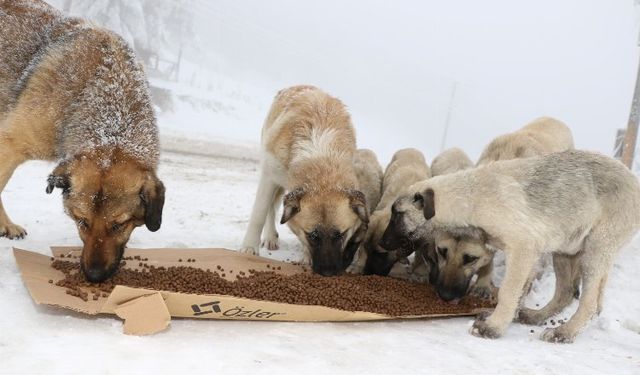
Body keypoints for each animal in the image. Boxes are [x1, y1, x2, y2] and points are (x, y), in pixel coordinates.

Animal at [241, 86, 370, 278]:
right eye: (312, 236)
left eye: (340, 235)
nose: (328, 272)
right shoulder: (269, 177)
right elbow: (259, 213)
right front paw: (248, 248)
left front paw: (306, 256)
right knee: (271, 208)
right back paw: (270, 237)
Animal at [412, 151, 640, 344]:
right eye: (441, 252)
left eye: (470, 259)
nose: (445, 296)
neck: (472, 196)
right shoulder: (530, 255)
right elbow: (519, 292)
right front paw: (503, 317)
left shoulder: (523, 249)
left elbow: (508, 291)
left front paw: (493, 327)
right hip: (565, 251)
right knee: (566, 292)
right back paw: (536, 316)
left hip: (595, 252)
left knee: (590, 304)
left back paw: (563, 333)